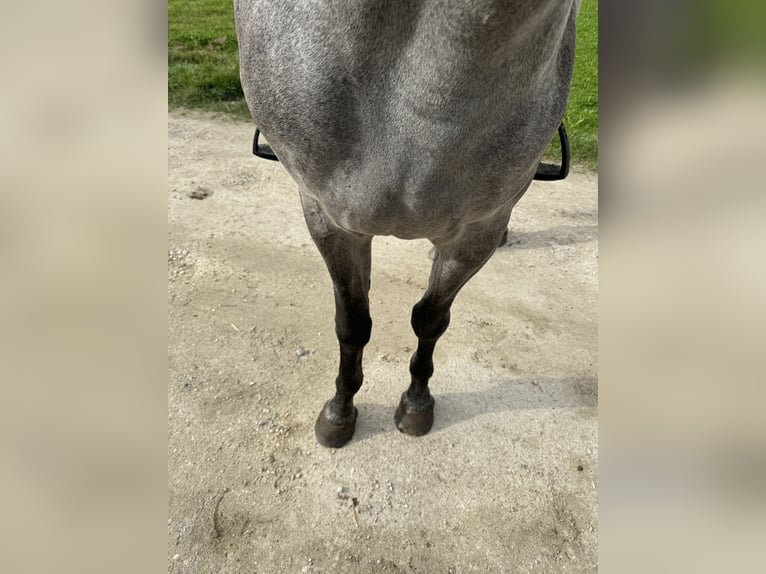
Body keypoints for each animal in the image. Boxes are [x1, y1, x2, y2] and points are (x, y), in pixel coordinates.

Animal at [234, 0, 584, 448]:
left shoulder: (478, 233)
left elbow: (431, 318)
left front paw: (416, 405)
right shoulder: (329, 220)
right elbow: (352, 322)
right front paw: (339, 411)